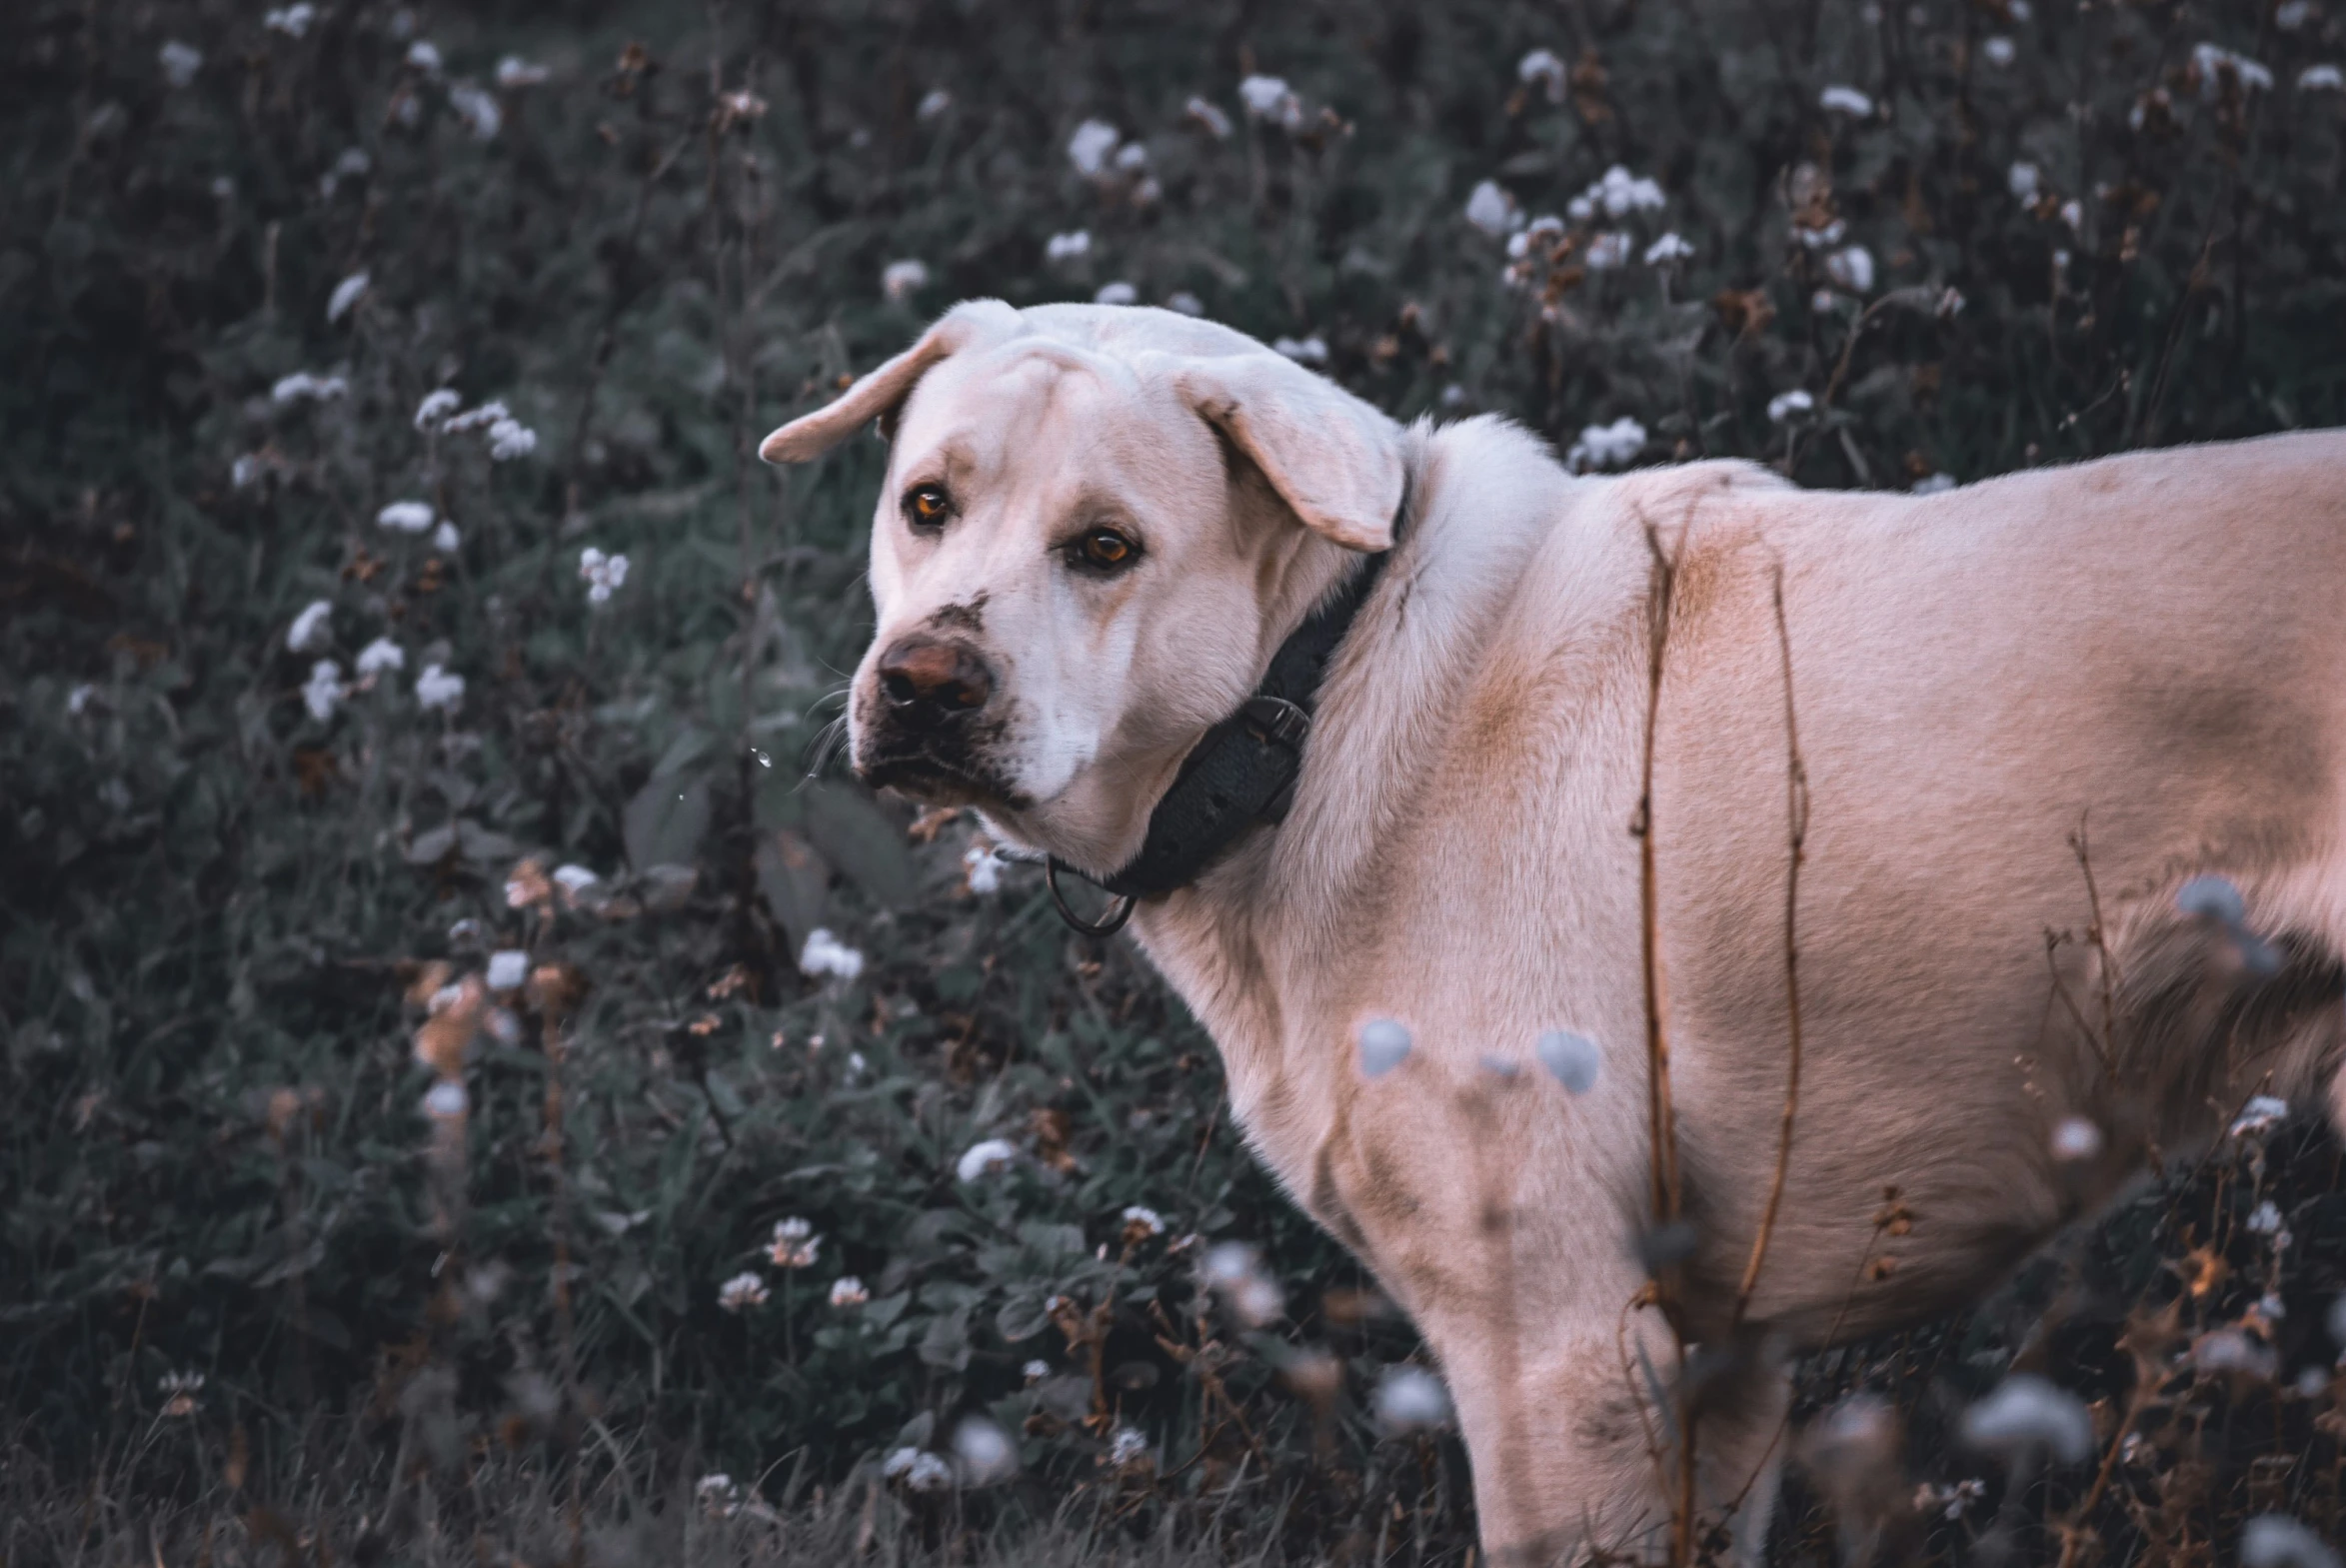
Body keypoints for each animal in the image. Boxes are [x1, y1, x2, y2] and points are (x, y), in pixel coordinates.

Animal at [765, 300, 2346, 1556]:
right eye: (924, 505)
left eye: (1105, 547)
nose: (921, 685)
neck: (1321, 690)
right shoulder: (1718, 1365)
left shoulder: (1559, 1356)